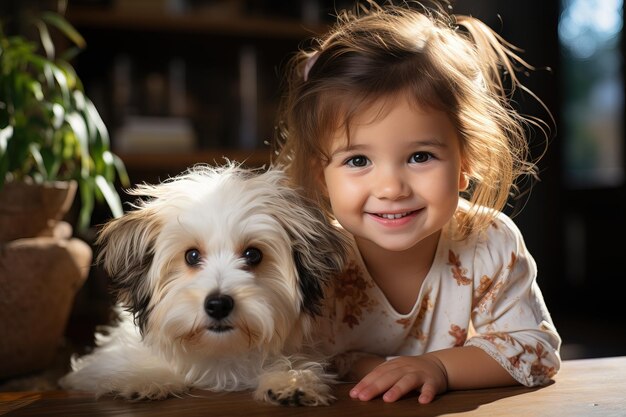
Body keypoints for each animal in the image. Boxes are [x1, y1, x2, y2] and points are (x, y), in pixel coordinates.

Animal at [60, 163, 348, 406]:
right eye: (191, 256)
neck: (217, 351)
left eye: (253, 255)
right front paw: (145, 375)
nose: (218, 305)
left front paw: (291, 379)